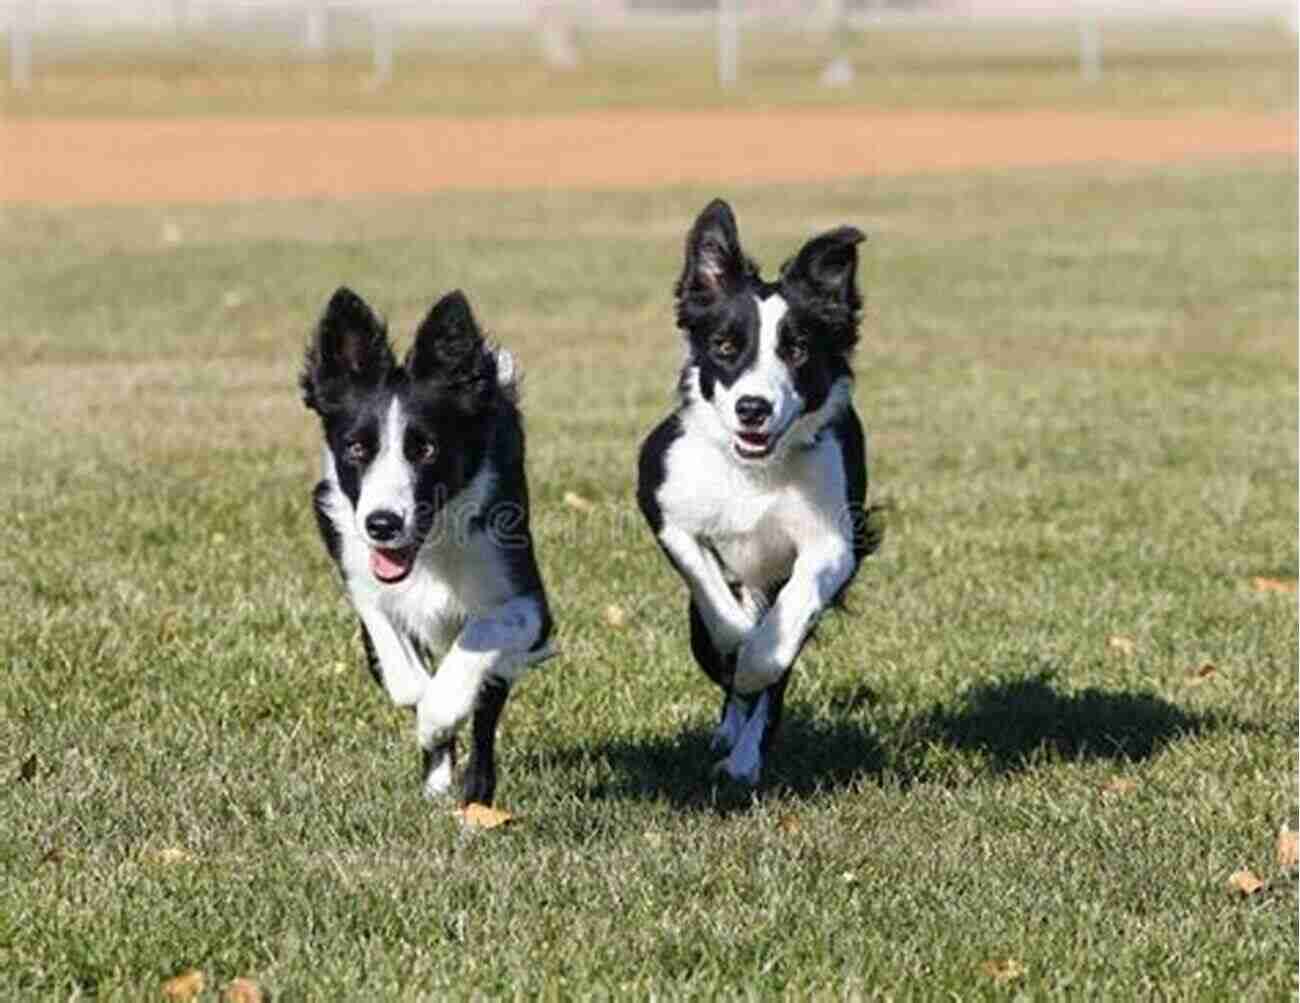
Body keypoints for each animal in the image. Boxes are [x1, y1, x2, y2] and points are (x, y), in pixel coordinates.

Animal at [301, 285, 551, 805]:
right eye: (356, 448)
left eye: (426, 449)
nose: (382, 524)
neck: (430, 551)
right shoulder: (359, 574)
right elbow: (400, 668)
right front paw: (425, 715)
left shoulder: (528, 603)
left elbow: (480, 640)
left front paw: (439, 714)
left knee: (488, 704)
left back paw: (475, 793)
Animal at [631, 200, 878, 789]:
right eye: (725, 346)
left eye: (798, 349)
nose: (752, 409)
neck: (755, 472)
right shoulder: (664, 504)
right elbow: (713, 595)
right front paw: (739, 636)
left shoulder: (835, 539)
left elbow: (786, 627)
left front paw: (756, 660)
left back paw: (743, 759)